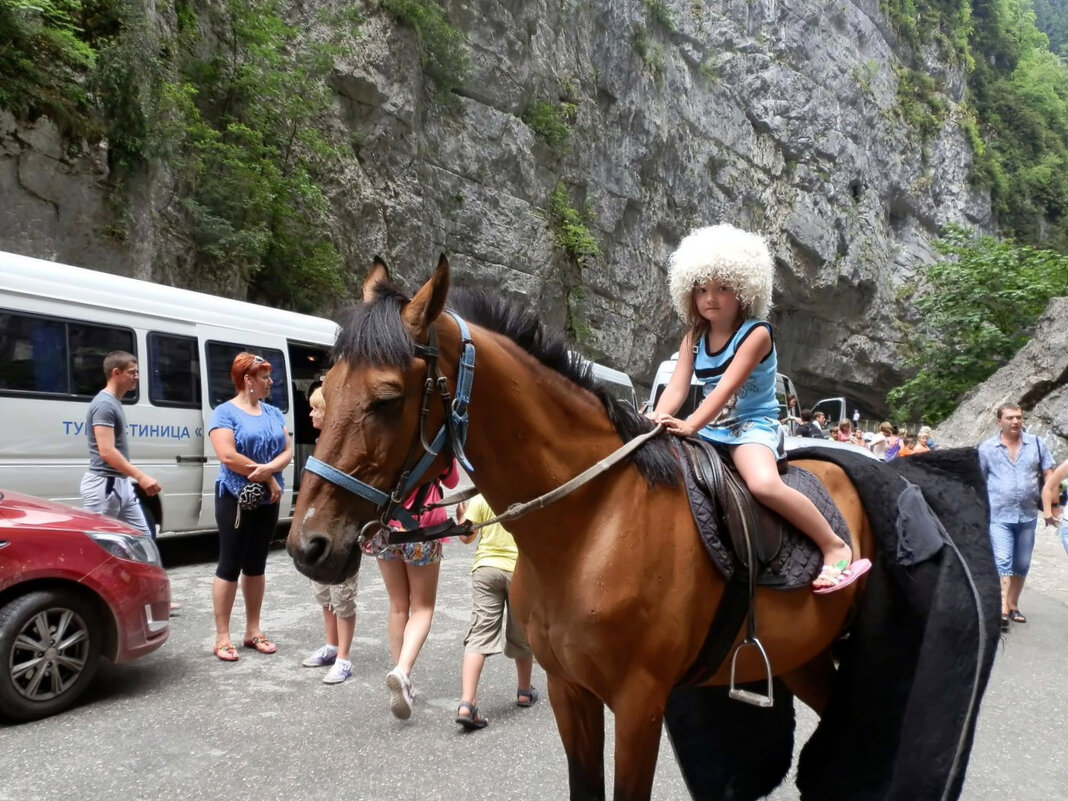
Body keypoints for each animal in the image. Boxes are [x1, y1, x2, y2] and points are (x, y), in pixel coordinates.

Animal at [286, 258, 875, 801]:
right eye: (324, 390)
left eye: (387, 399)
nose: (308, 545)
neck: (591, 525)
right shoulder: (569, 692)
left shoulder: (640, 705)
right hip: (806, 658)